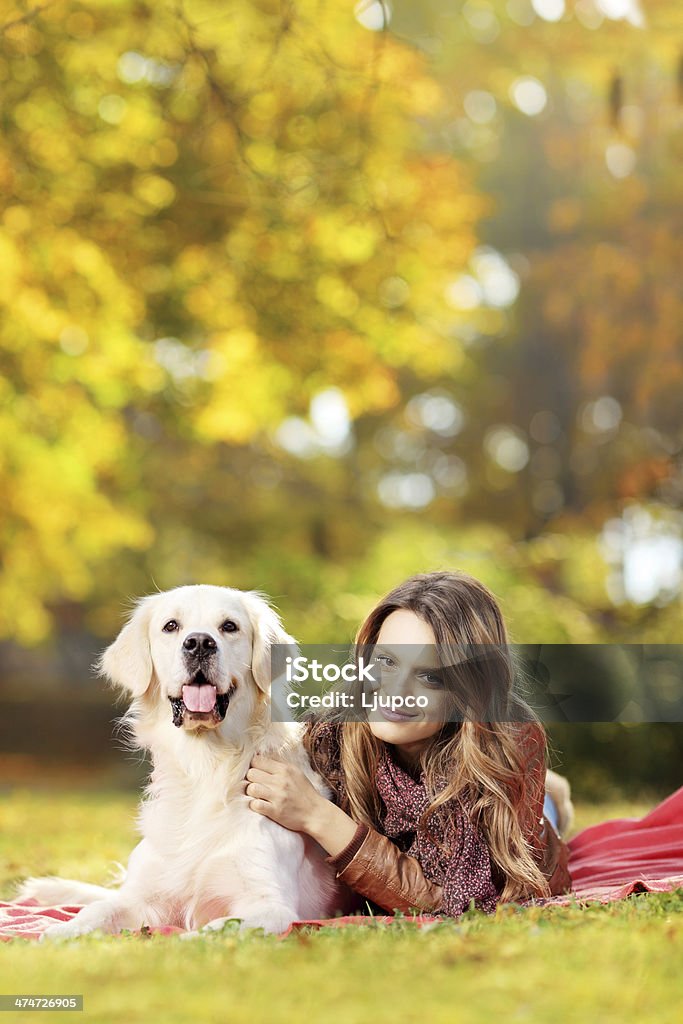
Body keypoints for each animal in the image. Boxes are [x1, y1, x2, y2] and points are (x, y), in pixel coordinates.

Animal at [20, 585, 339, 937]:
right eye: (171, 626)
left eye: (229, 626)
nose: (199, 643)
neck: (204, 766)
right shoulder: (143, 897)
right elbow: (100, 909)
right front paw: (62, 932)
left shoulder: (269, 905)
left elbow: (214, 929)